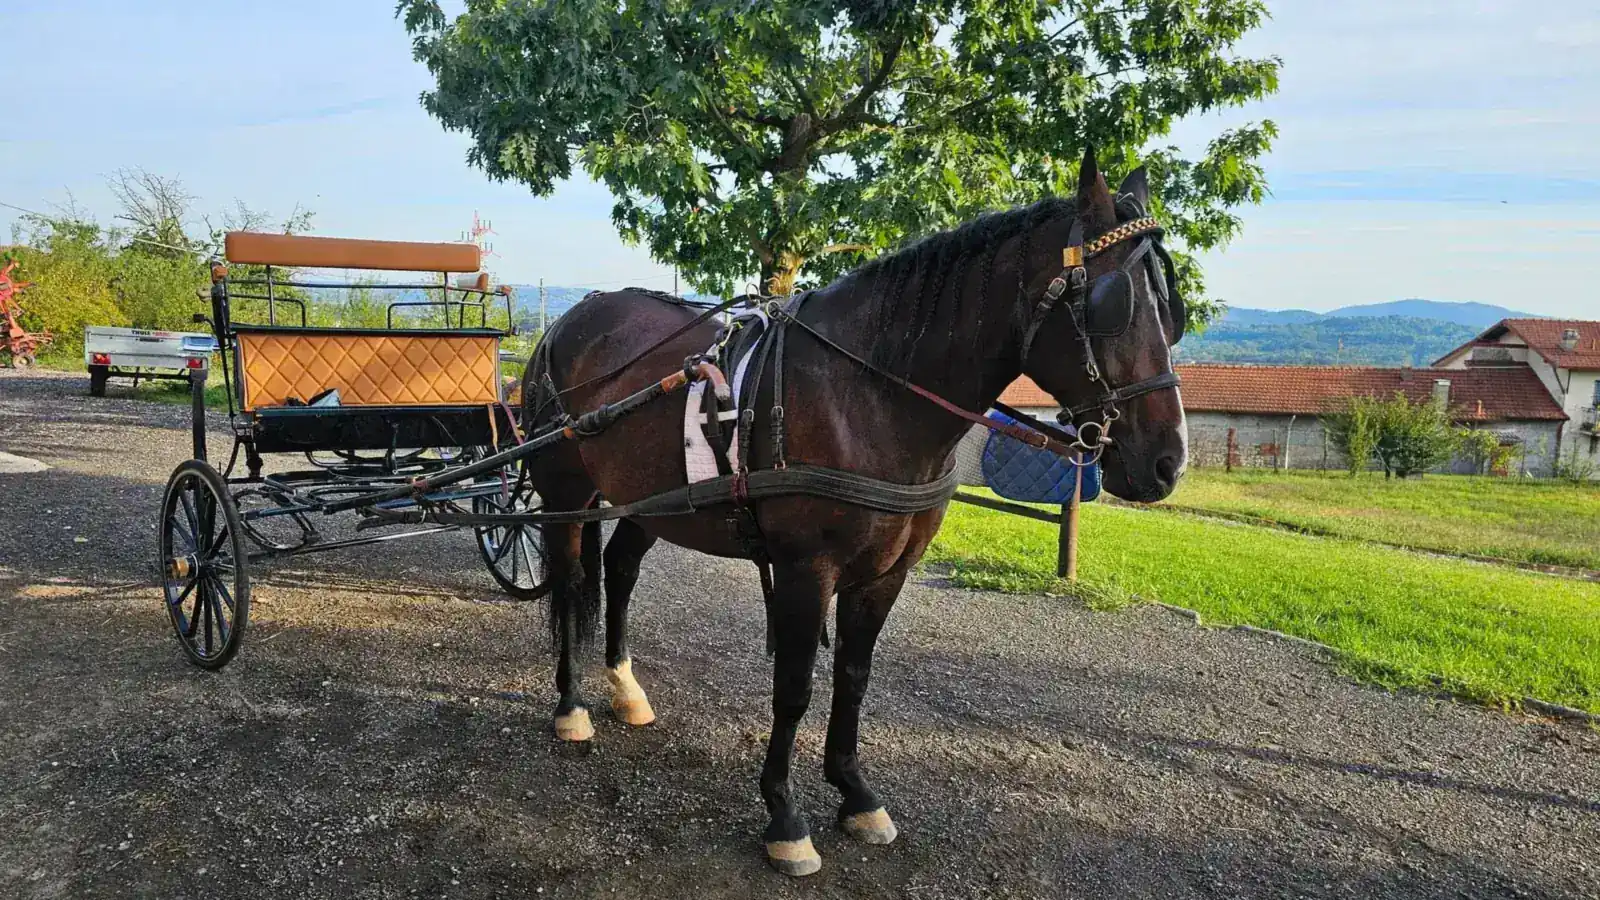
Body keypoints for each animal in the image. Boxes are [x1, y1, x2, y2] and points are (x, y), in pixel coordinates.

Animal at [520, 148, 1188, 876]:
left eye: (1172, 310)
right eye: (1113, 303)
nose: (1167, 462)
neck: (867, 391)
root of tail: (572, 319)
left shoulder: (886, 572)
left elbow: (854, 676)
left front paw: (854, 793)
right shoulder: (805, 569)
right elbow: (794, 687)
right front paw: (785, 816)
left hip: (653, 501)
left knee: (619, 570)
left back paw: (624, 688)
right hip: (566, 495)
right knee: (570, 581)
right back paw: (571, 705)